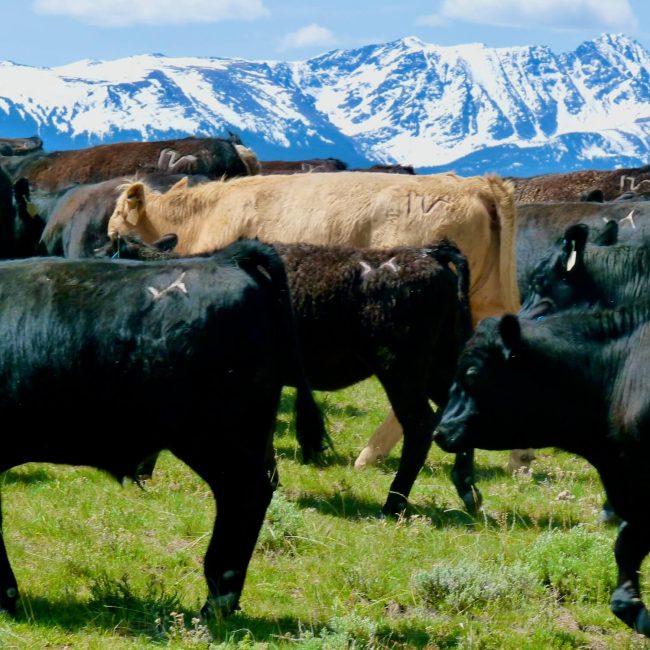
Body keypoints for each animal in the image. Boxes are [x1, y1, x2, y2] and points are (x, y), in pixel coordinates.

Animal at [96, 234, 480, 515]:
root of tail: (430, 254)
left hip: (401, 370)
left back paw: (394, 504)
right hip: (438, 366)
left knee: (419, 425)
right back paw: (467, 490)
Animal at [106, 170, 529, 475]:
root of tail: (475, 184)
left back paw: (370, 455)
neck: (206, 217)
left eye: (114, 233)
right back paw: (518, 459)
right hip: (482, 305)